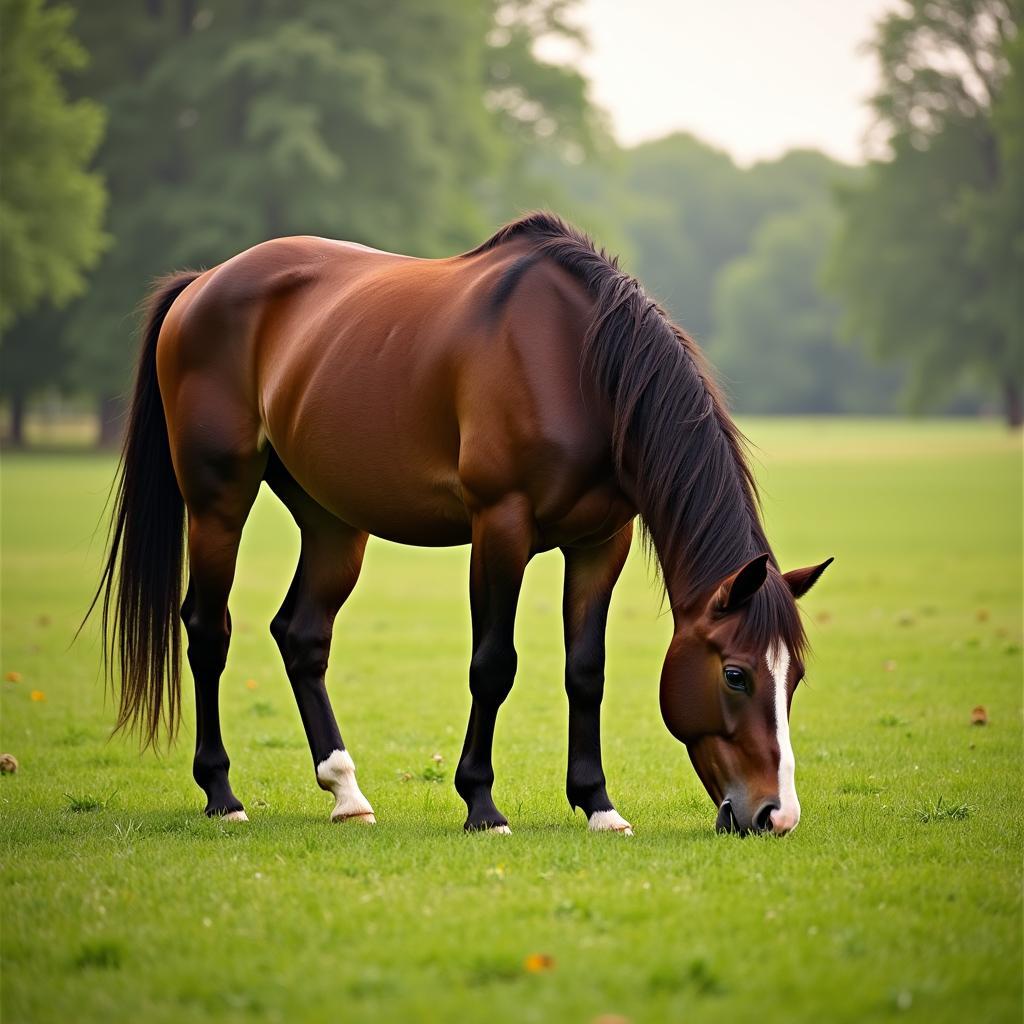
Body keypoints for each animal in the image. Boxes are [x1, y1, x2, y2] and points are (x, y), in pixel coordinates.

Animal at [88, 211, 831, 835]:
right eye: (735, 675)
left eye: (794, 677)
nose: (776, 815)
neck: (577, 366)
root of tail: (201, 283)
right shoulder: (500, 527)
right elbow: (493, 665)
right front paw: (482, 804)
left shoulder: (601, 544)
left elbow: (586, 670)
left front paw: (597, 804)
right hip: (218, 502)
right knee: (207, 632)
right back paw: (222, 794)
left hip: (333, 520)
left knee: (301, 635)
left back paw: (346, 793)